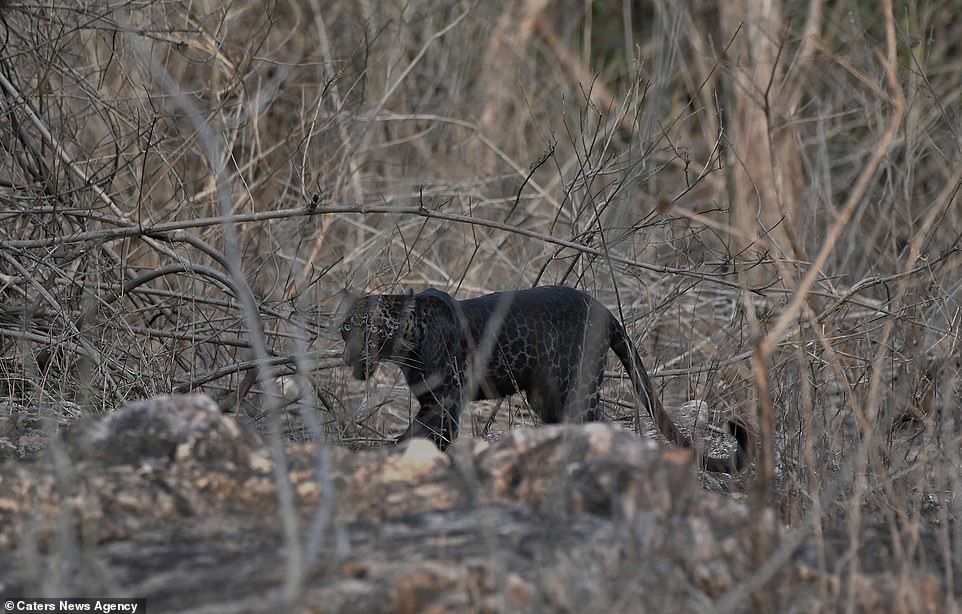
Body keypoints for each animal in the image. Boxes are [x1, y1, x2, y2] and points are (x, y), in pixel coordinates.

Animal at [338, 286, 752, 474]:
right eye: (345, 328)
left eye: (364, 328)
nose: (347, 357)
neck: (406, 341)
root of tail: (603, 309)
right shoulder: (432, 401)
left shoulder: (444, 402)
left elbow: (419, 437)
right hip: (546, 397)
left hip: (577, 388)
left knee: (598, 426)